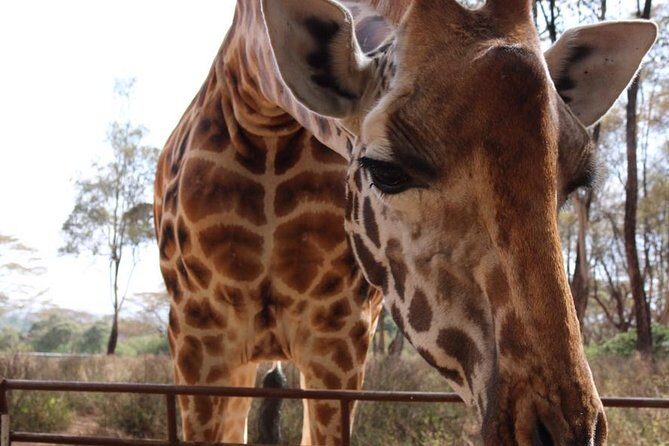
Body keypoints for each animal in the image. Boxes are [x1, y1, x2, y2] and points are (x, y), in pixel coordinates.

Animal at [153, 0, 656, 444]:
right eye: (387, 171)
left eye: (576, 180)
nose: (565, 431)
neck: (268, 120)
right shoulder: (198, 338)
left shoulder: (341, 341)